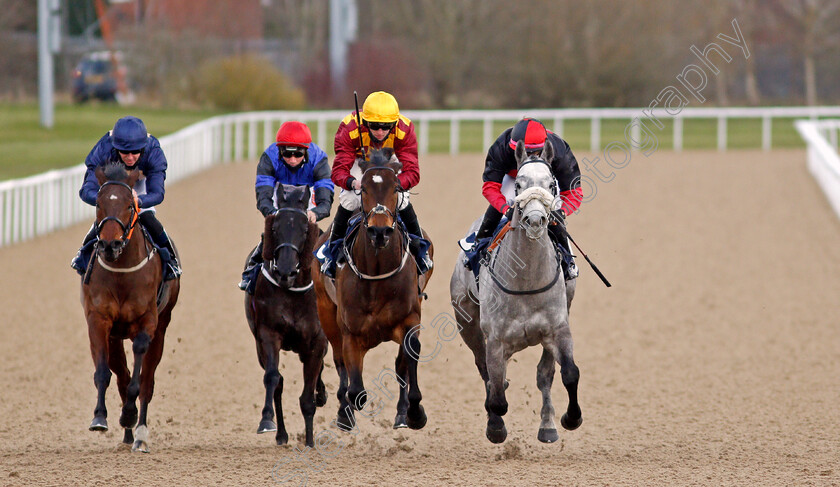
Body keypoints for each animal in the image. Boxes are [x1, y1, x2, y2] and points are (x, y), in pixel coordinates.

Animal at [81, 161, 180, 454]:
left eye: (128, 205)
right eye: (99, 203)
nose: (109, 244)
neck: (122, 271)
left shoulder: (147, 323)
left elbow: (139, 380)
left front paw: (131, 416)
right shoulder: (99, 320)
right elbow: (104, 373)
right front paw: (100, 418)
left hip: (162, 327)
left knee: (146, 381)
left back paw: (139, 435)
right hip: (115, 336)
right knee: (121, 375)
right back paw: (126, 433)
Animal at [243, 185, 328, 448]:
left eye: (304, 230)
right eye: (275, 228)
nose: (285, 272)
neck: (293, 291)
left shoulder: (316, 340)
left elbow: (307, 399)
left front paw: (309, 442)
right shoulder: (268, 335)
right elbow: (273, 378)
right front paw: (267, 421)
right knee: (278, 383)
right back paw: (281, 433)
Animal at [314, 148, 436, 430]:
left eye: (395, 188)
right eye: (365, 190)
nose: (380, 231)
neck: (377, 275)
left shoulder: (410, 318)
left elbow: (407, 361)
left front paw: (414, 412)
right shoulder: (350, 332)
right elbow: (356, 390)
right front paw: (345, 411)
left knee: (400, 367)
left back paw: (401, 414)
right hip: (326, 312)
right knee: (340, 363)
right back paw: (343, 413)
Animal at [450, 139, 580, 444]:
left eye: (551, 185)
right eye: (519, 185)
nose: (535, 220)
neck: (526, 279)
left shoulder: (559, 329)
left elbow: (567, 373)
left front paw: (569, 419)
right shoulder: (496, 340)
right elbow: (496, 391)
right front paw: (496, 427)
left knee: (544, 374)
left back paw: (547, 425)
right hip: (466, 322)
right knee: (484, 371)